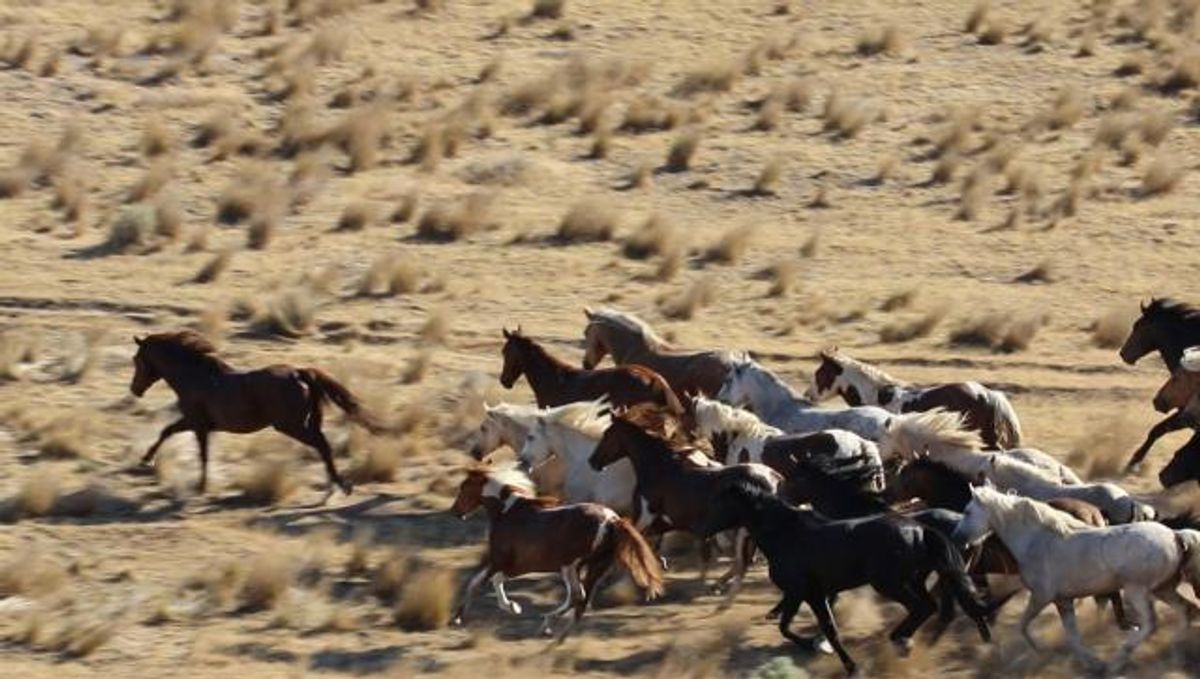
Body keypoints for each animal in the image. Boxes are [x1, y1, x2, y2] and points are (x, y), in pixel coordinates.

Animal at [130, 331, 380, 500]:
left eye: (137, 360)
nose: (134, 390)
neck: (195, 376)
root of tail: (299, 373)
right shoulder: (197, 423)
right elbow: (168, 432)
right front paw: (146, 459)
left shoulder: (197, 424)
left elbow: (200, 453)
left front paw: (200, 486)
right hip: (303, 424)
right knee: (323, 446)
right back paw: (334, 486)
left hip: (291, 426)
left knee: (322, 445)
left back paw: (340, 486)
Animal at [450, 462, 664, 638]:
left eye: (464, 487)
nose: (455, 512)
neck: (507, 513)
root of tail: (612, 520)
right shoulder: (513, 565)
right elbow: (488, 580)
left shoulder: (503, 562)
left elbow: (479, 582)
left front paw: (461, 616)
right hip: (592, 567)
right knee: (581, 600)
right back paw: (555, 633)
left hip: (569, 566)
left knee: (577, 596)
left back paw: (548, 625)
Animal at [588, 412, 782, 604]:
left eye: (607, 434)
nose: (592, 461)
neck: (660, 470)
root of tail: (773, 476)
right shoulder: (663, 524)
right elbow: (650, 549)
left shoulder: (645, 519)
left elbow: (631, 547)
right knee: (745, 560)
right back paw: (717, 586)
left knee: (746, 559)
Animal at [702, 480, 991, 675]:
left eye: (720, 502)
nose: (704, 531)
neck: (787, 536)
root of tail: (921, 530)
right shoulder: (809, 593)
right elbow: (798, 626)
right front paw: (820, 647)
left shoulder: (805, 592)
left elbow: (814, 628)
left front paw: (840, 659)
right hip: (914, 580)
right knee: (930, 607)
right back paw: (907, 642)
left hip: (889, 583)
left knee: (922, 608)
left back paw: (901, 641)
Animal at [951, 485, 1200, 674]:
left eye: (967, 511)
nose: (957, 538)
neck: (1037, 540)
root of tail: (1176, 535)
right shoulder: (1063, 601)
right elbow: (1073, 638)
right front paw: (1093, 663)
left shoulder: (1041, 596)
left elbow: (1023, 626)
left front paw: (1042, 650)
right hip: (1164, 589)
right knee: (1187, 610)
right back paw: (1175, 652)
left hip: (1137, 590)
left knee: (1151, 624)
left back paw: (1117, 663)